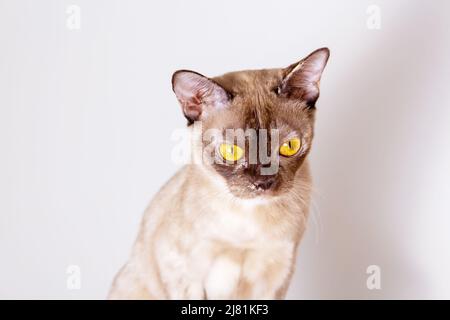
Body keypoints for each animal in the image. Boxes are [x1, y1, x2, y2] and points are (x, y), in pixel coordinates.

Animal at [107, 48, 328, 300]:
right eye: (230, 151)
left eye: (289, 146)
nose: (263, 183)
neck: (247, 225)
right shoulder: (183, 274)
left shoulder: (275, 277)